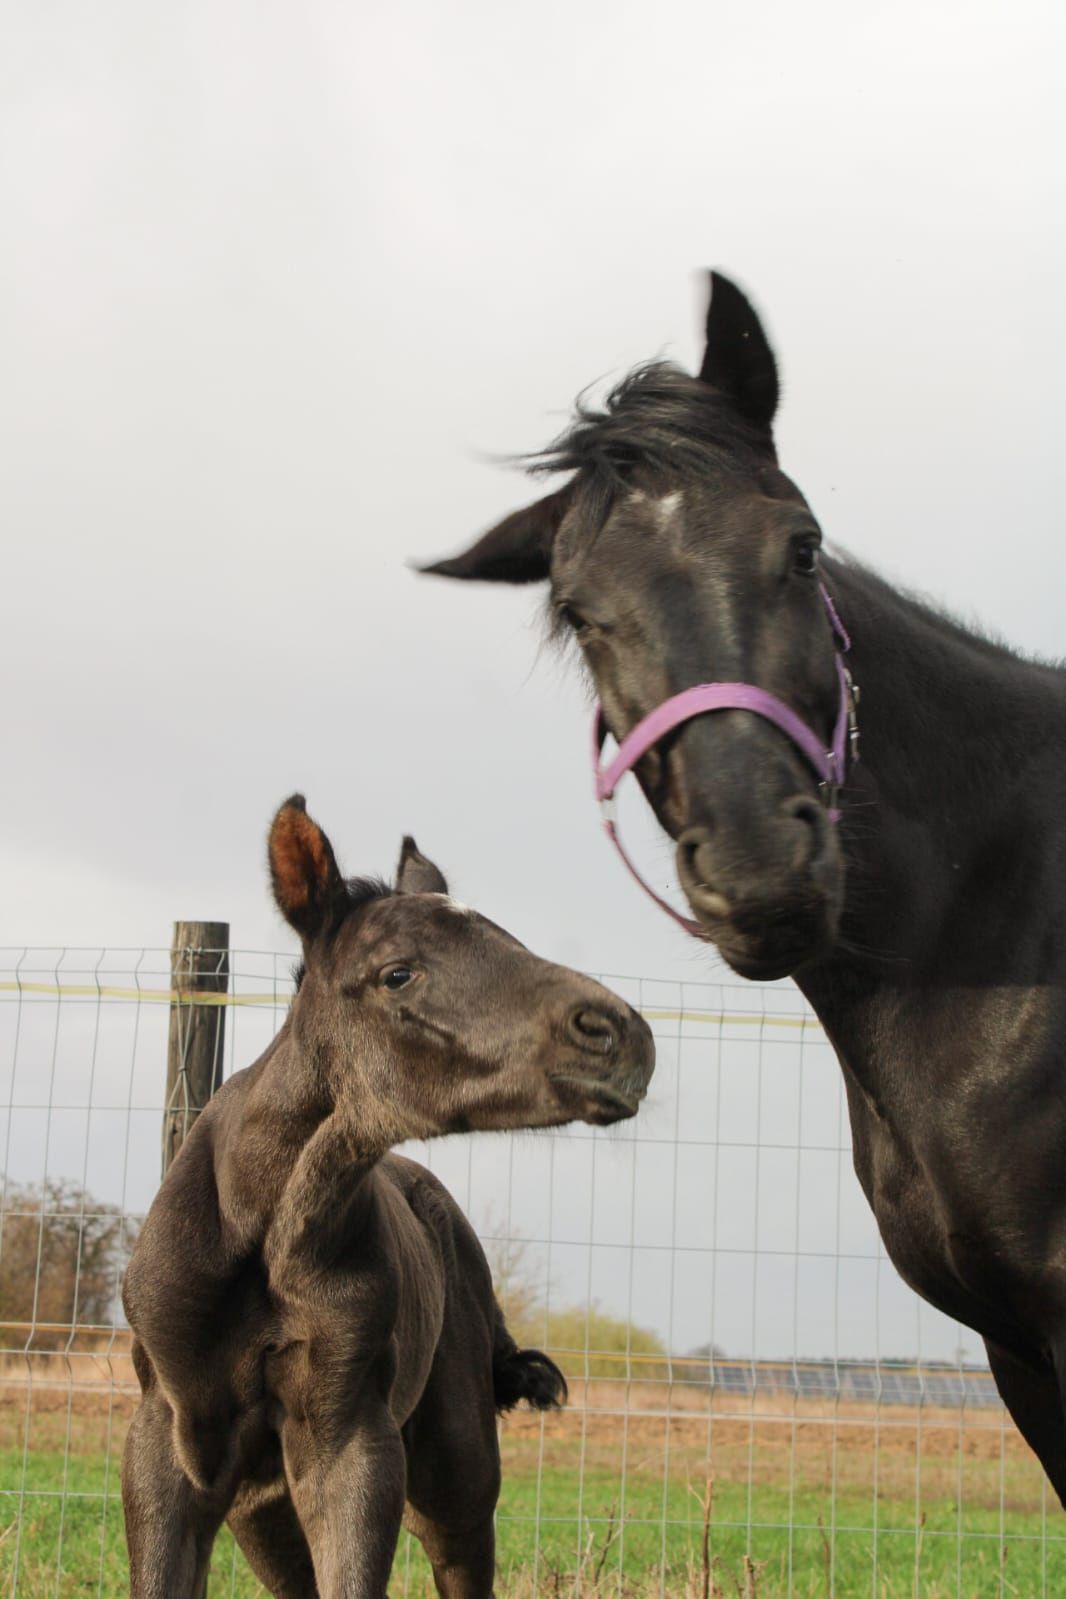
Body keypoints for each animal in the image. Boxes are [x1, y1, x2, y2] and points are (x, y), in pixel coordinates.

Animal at [120, 793, 655, 1592]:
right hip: (262, 1505)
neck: (263, 1237)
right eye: (398, 973)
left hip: (457, 1471)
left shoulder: (352, 1440)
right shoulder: (169, 1438)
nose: (623, 1036)